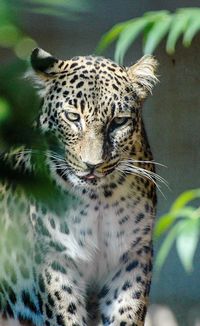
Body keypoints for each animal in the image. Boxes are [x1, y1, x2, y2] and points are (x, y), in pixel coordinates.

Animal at [0, 48, 159, 326]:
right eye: (73, 117)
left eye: (118, 122)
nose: (92, 165)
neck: (98, 199)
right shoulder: (55, 258)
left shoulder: (132, 257)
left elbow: (127, 310)